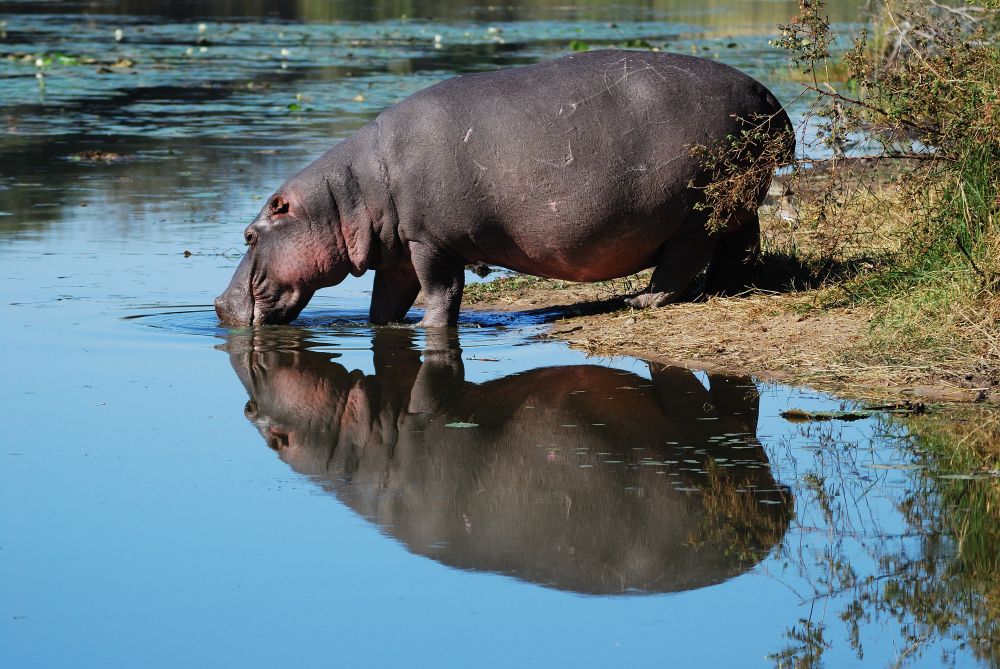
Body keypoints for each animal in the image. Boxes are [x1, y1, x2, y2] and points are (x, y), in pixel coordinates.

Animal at [215, 49, 793, 327]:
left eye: (249, 235)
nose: (219, 306)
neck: (348, 197)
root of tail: (768, 95)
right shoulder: (399, 249)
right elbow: (387, 300)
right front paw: (381, 328)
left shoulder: (430, 242)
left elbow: (441, 293)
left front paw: (430, 329)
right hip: (738, 201)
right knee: (740, 245)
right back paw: (727, 288)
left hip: (698, 206)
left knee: (683, 259)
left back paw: (644, 301)